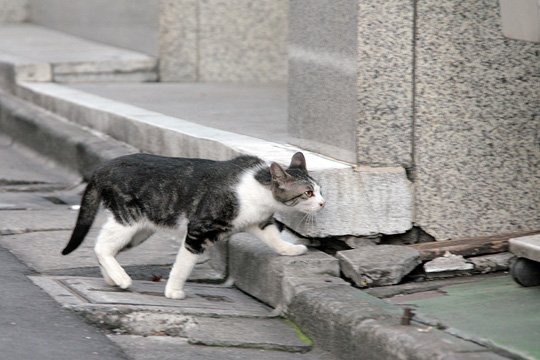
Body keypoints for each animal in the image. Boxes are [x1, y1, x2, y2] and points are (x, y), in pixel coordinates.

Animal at [61, 151, 326, 298]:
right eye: (308, 193)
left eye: (320, 190)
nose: (324, 203)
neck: (259, 189)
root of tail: (103, 167)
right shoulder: (199, 228)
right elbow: (184, 263)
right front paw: (174, 291)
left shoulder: (259, 221)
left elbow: (272, 237)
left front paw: (291, 249)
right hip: (129, 218)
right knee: (101, 247)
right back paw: (121, 278)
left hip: (141, 228)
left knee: (105, 245)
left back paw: (111, 278)